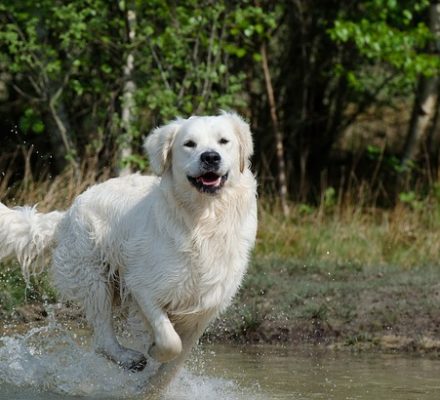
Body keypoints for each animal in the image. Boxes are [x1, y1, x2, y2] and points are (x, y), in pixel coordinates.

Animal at [0, 111, 258, 392]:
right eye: (189, 144)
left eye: (224, 141)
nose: (210, 157)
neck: (203, 220)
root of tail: (66, 215)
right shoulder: (142, 286)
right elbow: (170, 342)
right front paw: (152, 352)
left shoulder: (205, 309)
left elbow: (175, 363)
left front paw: (151, 389)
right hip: (94, 278)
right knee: (102, 338)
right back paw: (129, 358)